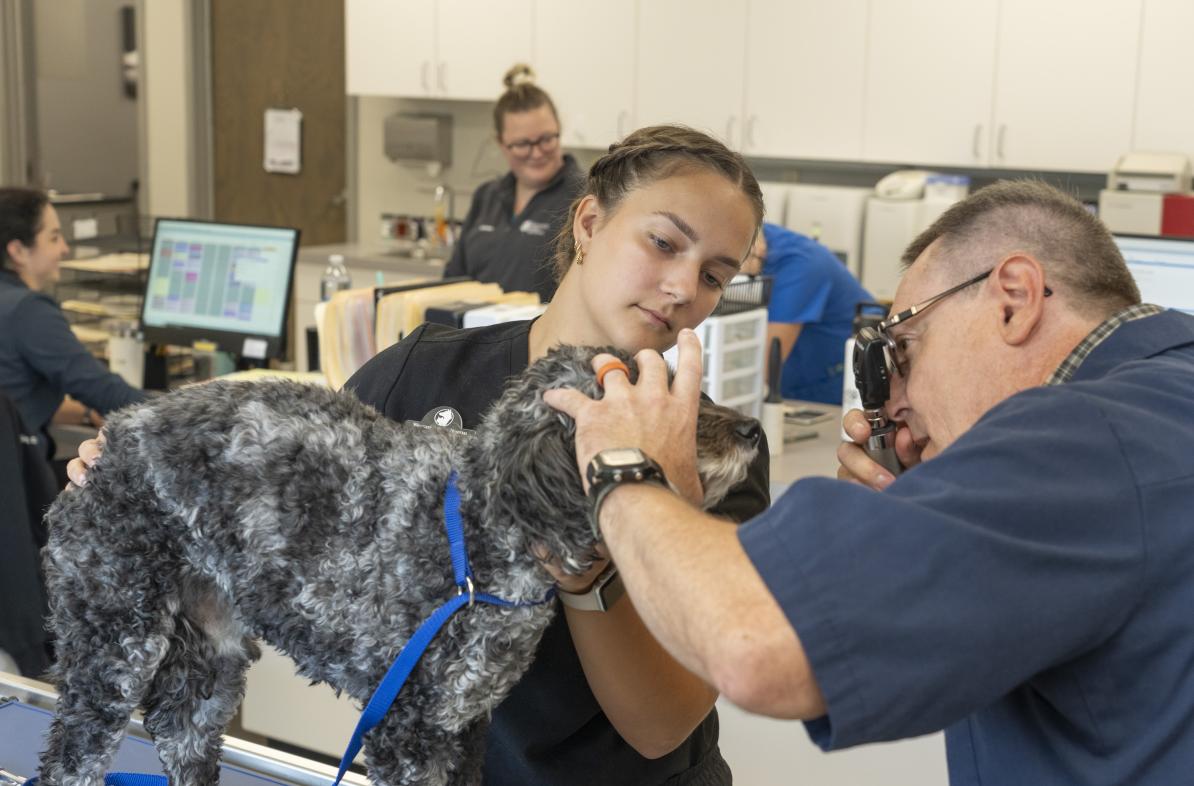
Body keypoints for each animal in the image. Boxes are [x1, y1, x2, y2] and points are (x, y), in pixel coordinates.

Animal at [42, 346, 759, 783]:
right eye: (646, 393)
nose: (754, 431)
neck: (478, 534)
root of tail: (106, 447)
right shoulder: (406, 730)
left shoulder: (462, 724)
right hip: (116, 647)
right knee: (69, 760)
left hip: (207, 666)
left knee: (181, 736)